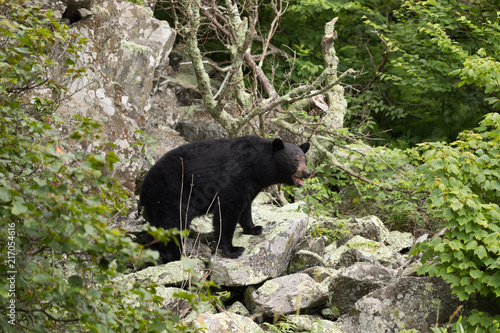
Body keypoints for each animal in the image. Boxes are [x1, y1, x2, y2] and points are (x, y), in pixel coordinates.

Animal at [139, 135, 310, 262]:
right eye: (295, 160)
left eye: (305, 159)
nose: (307, 172)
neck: (257, 165)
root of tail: (144, 186)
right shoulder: (233, 176)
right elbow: (227, 211)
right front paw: (233, 249)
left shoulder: (250, 184)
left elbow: (246, 207)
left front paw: (254, 228)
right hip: (171, 193)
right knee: (174, 223)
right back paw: (174, 255)